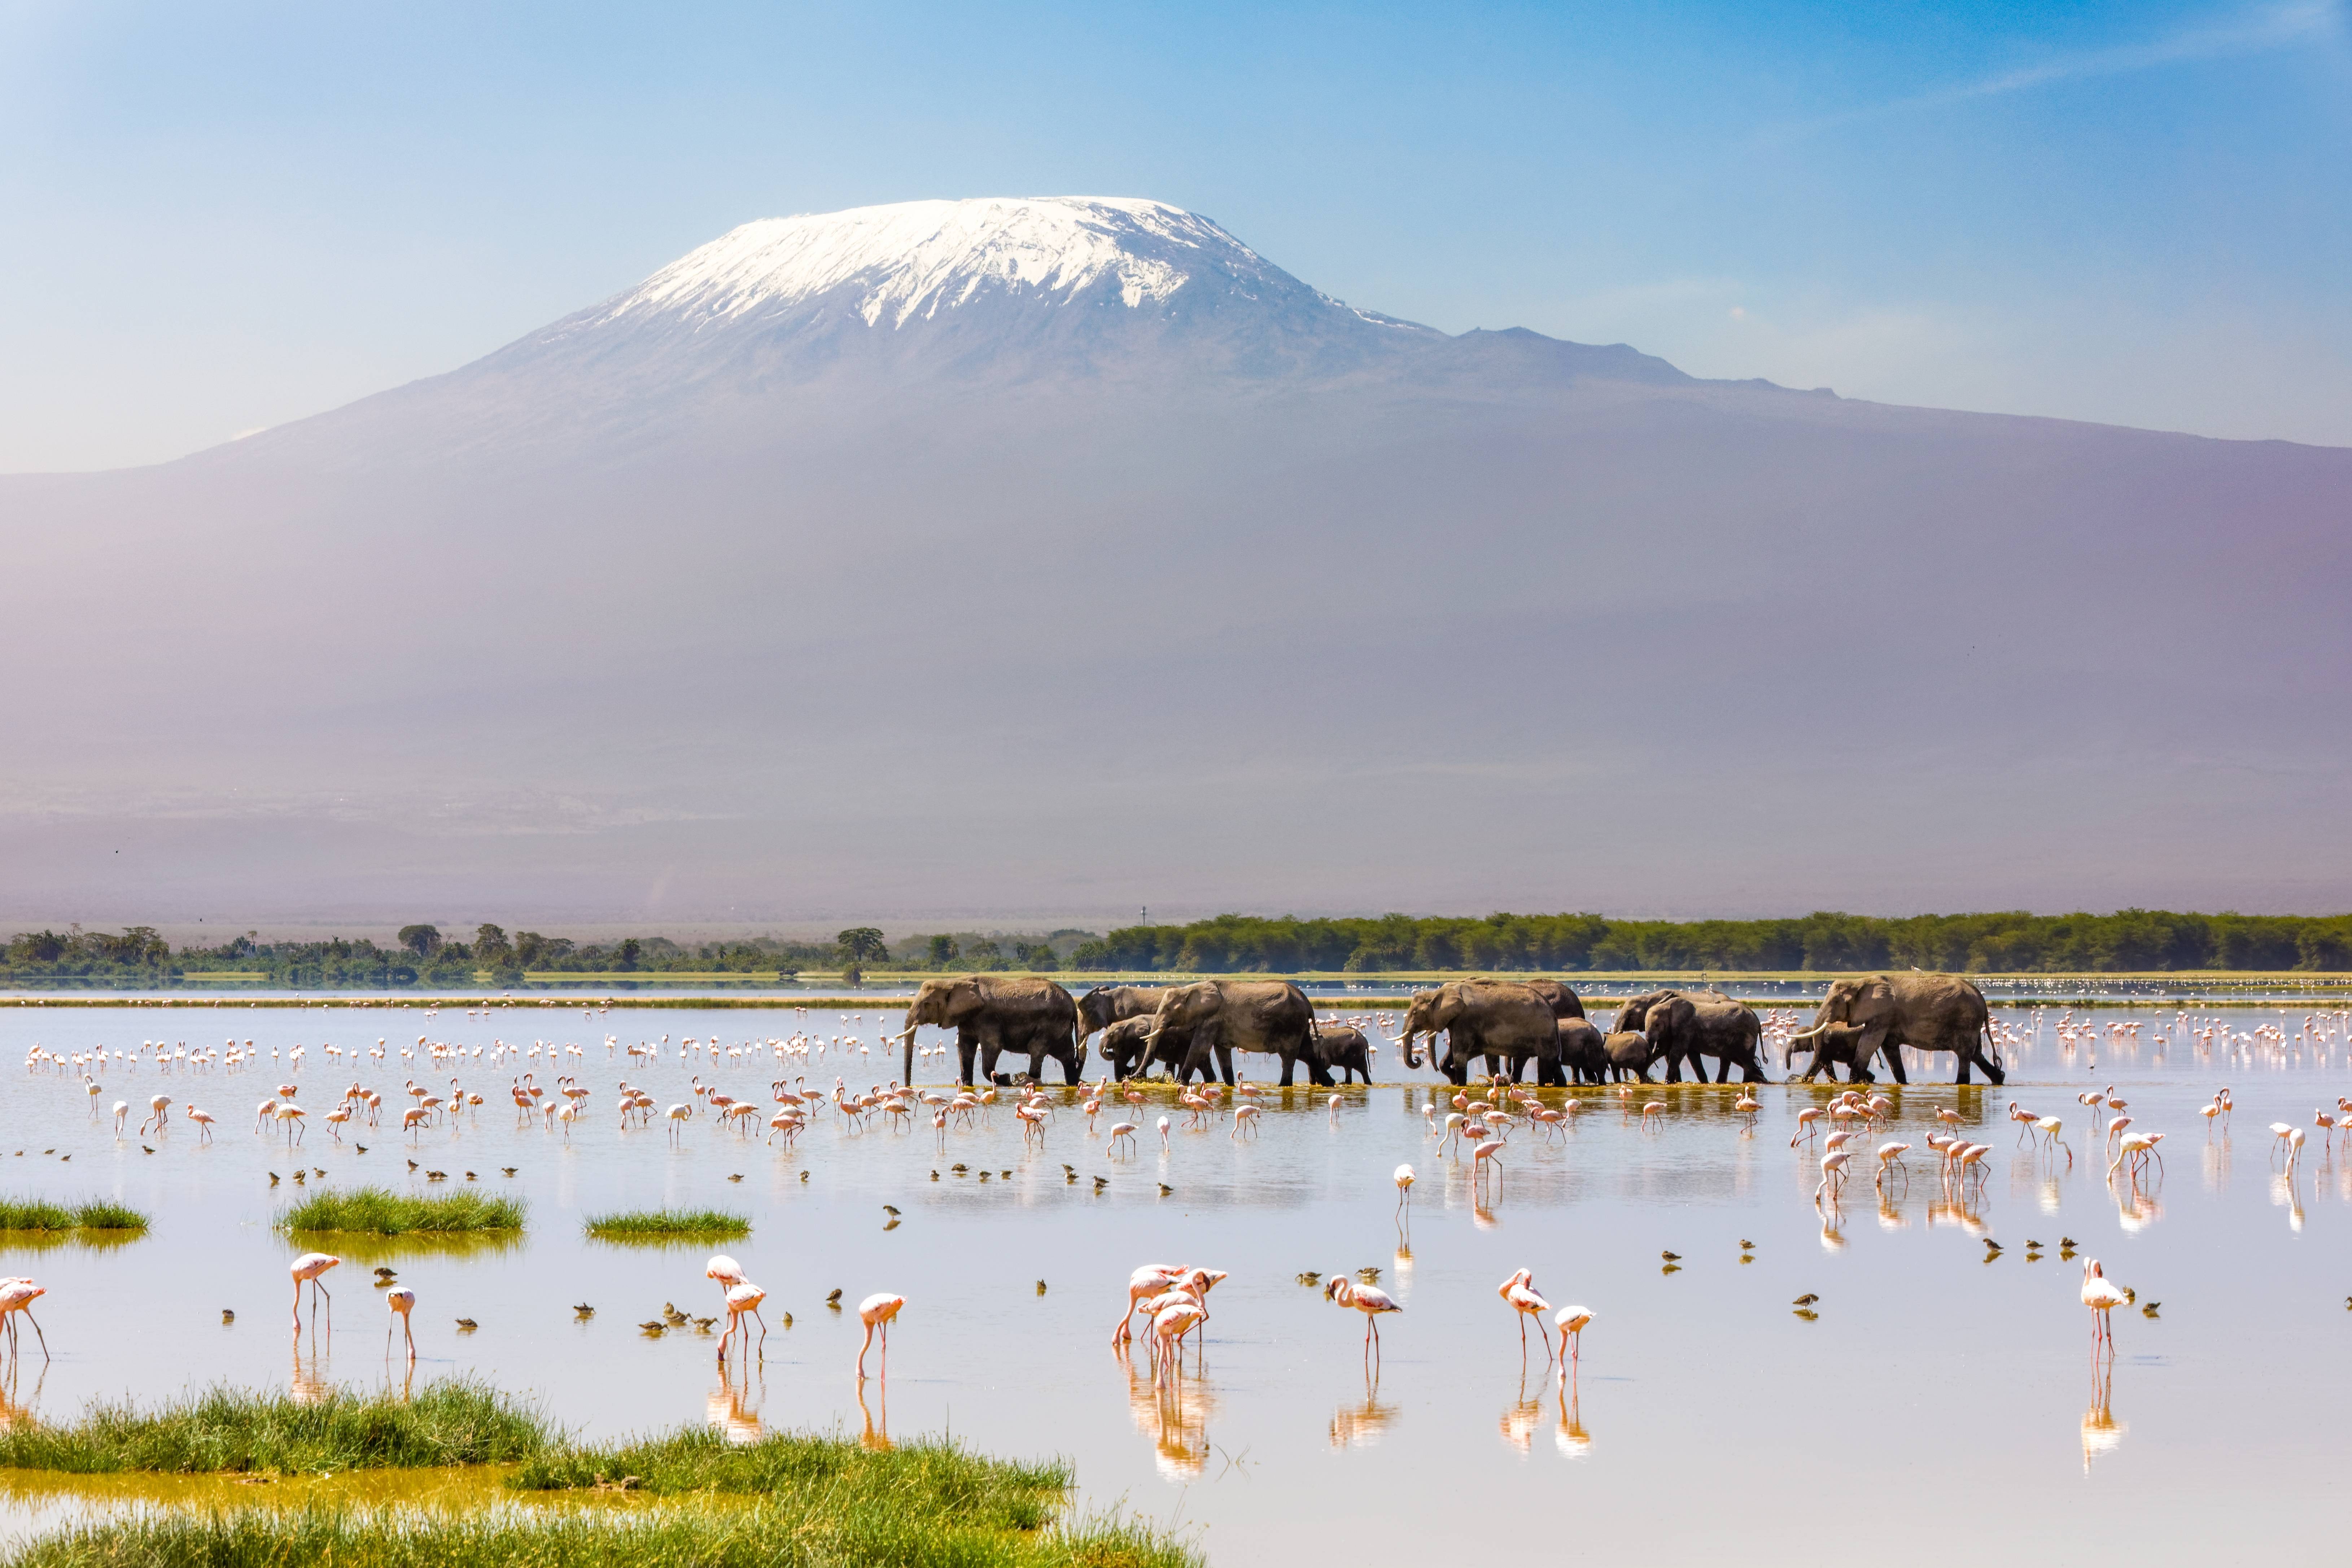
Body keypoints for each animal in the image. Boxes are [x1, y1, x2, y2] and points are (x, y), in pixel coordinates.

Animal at [898, 973, 1082, 1086]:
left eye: (927, 1004)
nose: (909, 1087)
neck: (954, 981)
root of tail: (1072, 1002)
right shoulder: (966, 1018)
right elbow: (965, 1048)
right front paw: (968, 1086)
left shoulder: (987, 1017)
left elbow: (993, 1046)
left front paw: (1006, 1079)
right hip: (1060, 1027)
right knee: (1066, 1055)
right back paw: (1072, 1083)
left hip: (1051, 1023)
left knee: (1037, 1049)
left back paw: (1025, 1081)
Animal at [1152, 982, 1336, 1091]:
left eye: (1168, 1009)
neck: (1189, 988)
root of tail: (1308, 1003)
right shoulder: (1218, 1024)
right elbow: (1222, 1053)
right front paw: (1230, 1086)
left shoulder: (1211, 1020)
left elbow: (1199, 1048)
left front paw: (1180, 1084)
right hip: (1299, 1026)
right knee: (1307, 1054)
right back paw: (1331, 1084)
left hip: (1291, 1026)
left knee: (1289, 1057)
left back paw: (1283, 1086)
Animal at [1392, 987, 1561, 1086]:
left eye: (1415, 1013)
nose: (1417, 1060)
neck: (1440, 993)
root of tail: (1553, 1013)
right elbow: (1455, 1053)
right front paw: (1454, 1081)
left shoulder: (1466, 1019)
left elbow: (1459, 1054)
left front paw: (1460, 1085)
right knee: (1540, 1061)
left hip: (1543, 1031)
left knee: (1545, 1062)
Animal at [1778, 973, 2004, 1086]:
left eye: (1835, 1002)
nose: (1792, 1075)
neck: (1860, 982)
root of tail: (1983, 1001)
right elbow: (1890, 1050)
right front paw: (1902, 1084)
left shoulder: (1882, 1014)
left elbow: (1869, 1044)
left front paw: (1852, 1085)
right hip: (1971, 1023)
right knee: (1976, 1054)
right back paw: (1999, 1079)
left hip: (1966, 1020)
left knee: (1965, 1055)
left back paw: (1961, 1084)